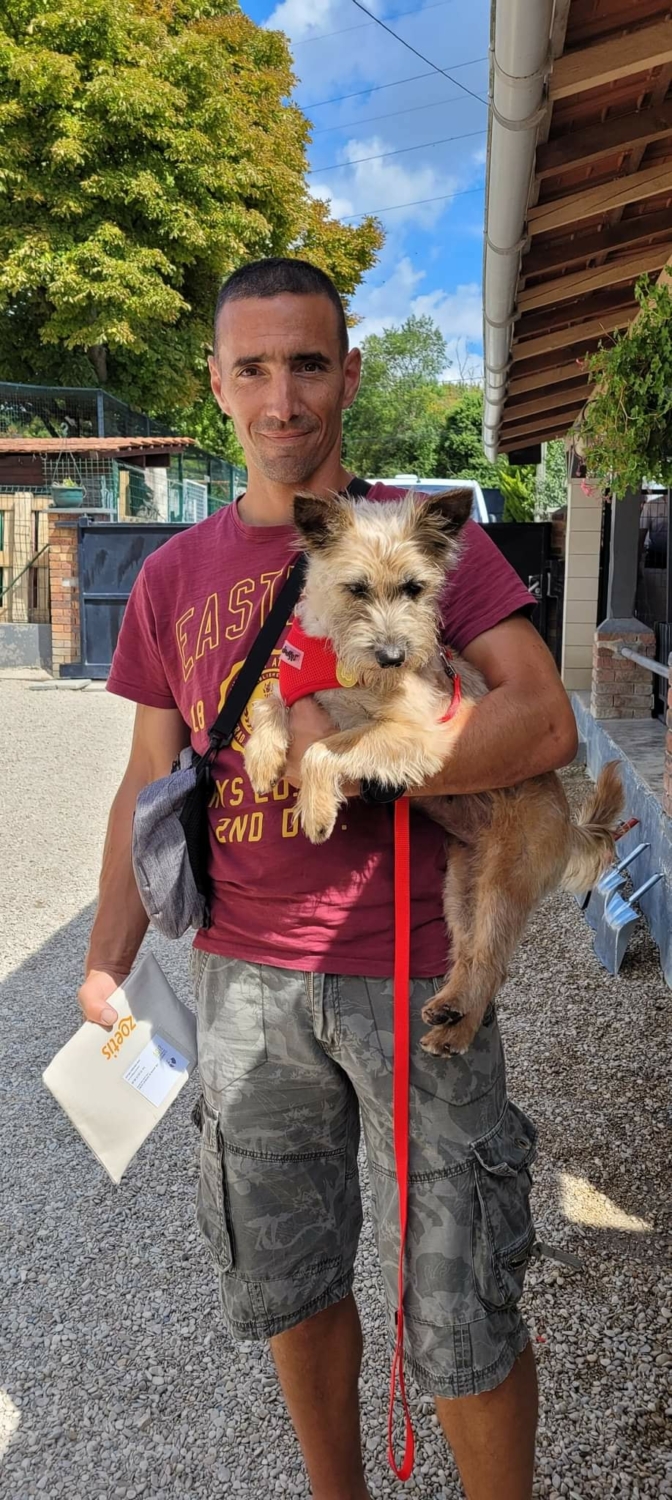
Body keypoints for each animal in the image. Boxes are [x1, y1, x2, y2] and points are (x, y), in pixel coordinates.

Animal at [243, 492, 624, 1056]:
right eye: (356, 588)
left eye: (415, 588)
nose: (394, 656)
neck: (342, 660)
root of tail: (569, 824)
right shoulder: (298, 689)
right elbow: (268, 702)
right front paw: (263, 757)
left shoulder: (420, 732)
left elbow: (323, 752)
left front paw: (315, 807)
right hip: (461, 890)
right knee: (472, 957)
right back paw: (451, 1010)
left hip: (502, 887)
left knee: (491, 962)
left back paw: (456, 1029)